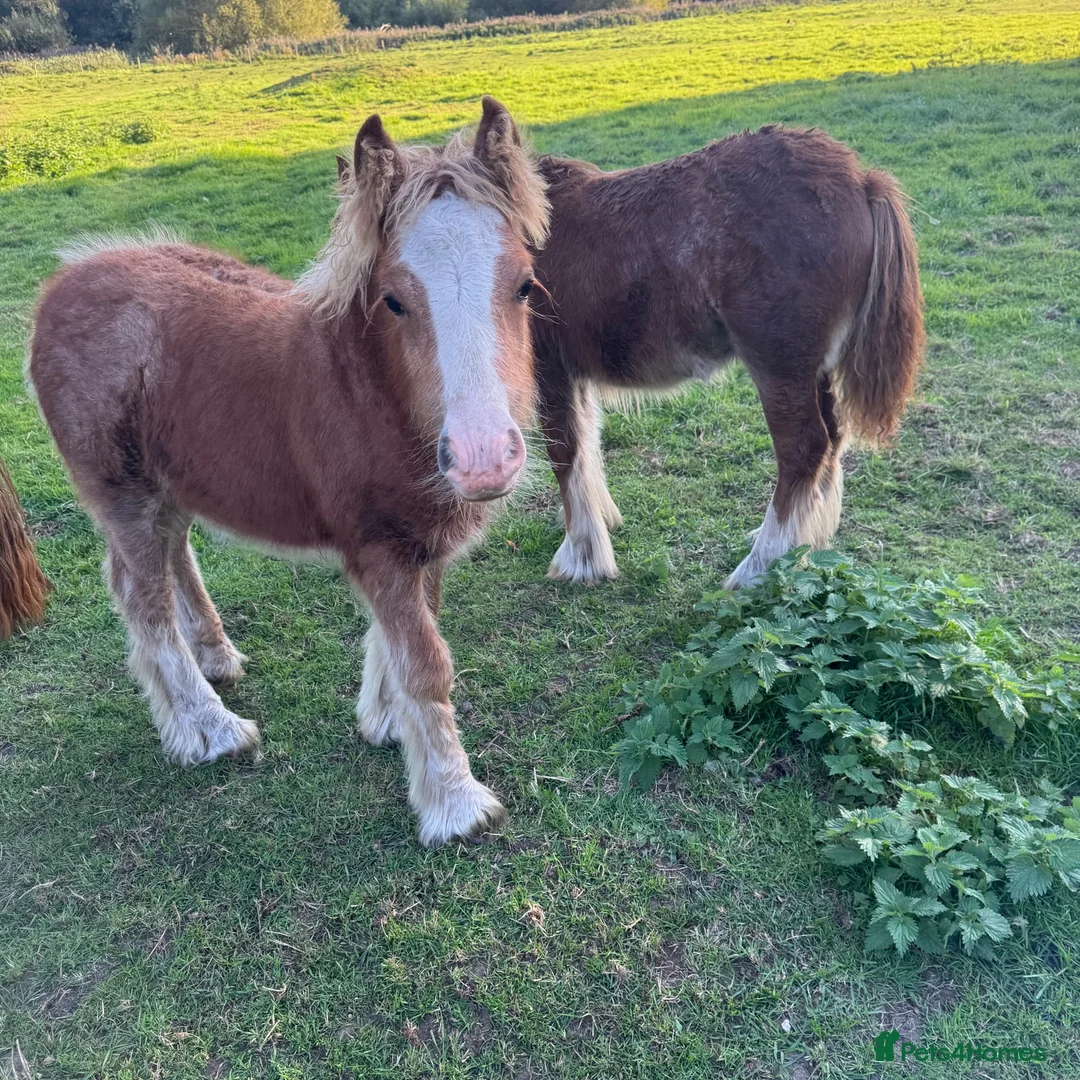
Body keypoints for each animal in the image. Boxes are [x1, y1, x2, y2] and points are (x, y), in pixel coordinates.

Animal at [27, 97, 550, 847]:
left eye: (525, 285)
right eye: (394, 299)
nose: (483, 459)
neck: (371, 393)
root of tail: (63, 283)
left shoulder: (420, 539)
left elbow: (407, 632)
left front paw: (384, 721)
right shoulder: (380, 544)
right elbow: (426, 663)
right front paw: (455, 805)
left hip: (171, 482)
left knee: (174, 555)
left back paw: (216, 657)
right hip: (121, 490)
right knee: (139, 595)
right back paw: (209, 729)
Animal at [530, 125, 924, 588]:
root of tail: (861, 181)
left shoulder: (549, 369)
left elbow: (565, 451)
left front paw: (581, 557)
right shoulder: (575, 371)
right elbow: (588, 442)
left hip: (779, 367)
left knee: (804, 449)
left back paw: (760, 567)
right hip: (815, 369)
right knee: (832, 441)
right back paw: (805, 546)